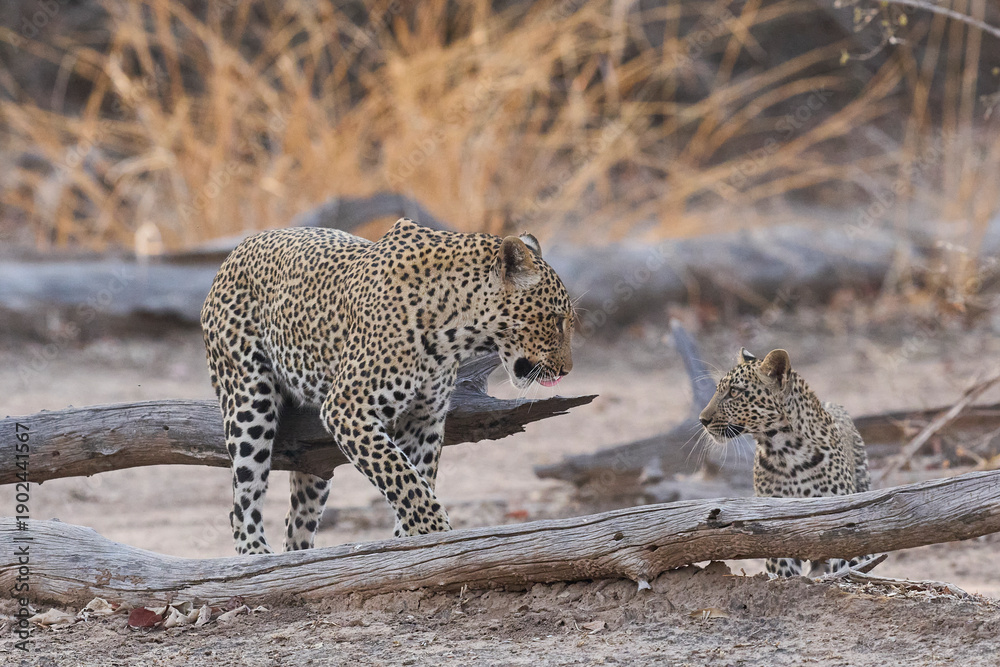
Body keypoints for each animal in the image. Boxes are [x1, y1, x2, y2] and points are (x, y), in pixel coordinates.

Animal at [201, 218, 574, 554]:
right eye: (557, 320)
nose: (567, 369)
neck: (455, 332)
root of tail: (236, 251)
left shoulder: (424, 419)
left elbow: (416, 479)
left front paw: (407, 544)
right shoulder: (347, 409)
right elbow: (403, 479)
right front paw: (437, 533)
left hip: (312, 464)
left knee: (297, 520)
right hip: (249, 402)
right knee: (242, 500)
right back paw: (256, 555)